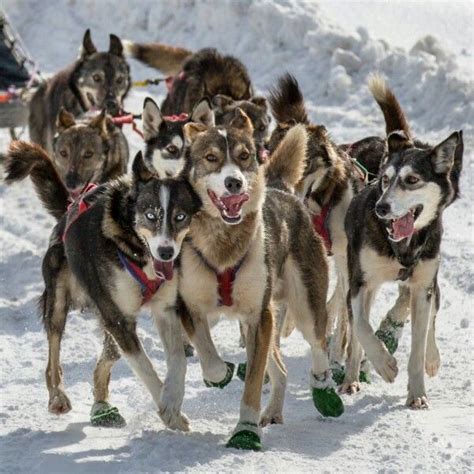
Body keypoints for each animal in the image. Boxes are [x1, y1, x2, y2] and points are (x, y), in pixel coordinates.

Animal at [342, 76, 464, 406]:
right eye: (385, 180)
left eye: (411, 180)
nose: (381, 207)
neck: (402, 248)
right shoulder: (359, 284)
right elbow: (361, 328)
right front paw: (383, 363)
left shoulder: (422, 288)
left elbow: (418, 345)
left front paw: (417, 394)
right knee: (357, 332)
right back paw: (350, 378)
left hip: (429, 282)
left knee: (431, 319)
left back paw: (432, 358)